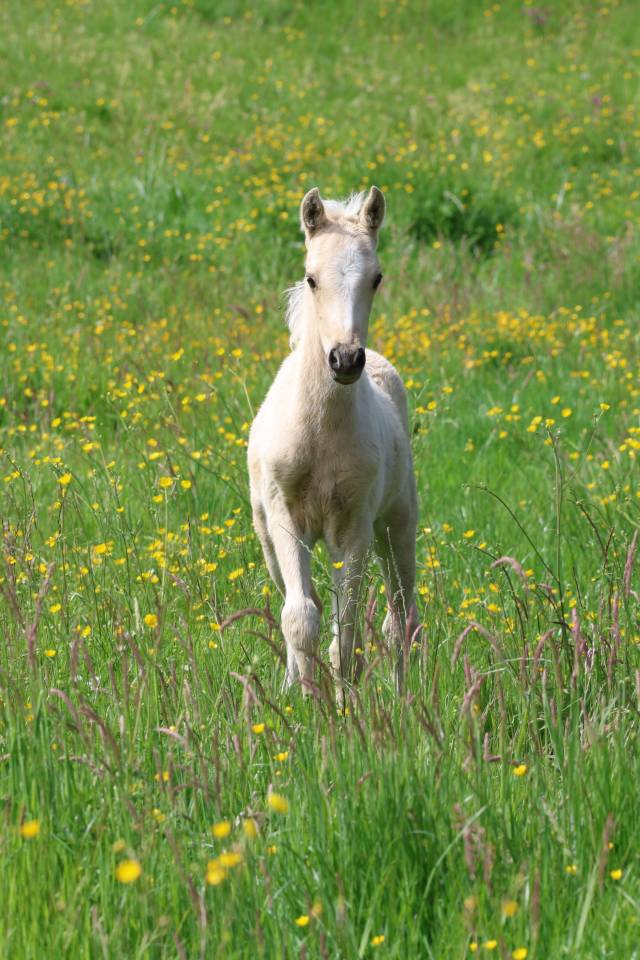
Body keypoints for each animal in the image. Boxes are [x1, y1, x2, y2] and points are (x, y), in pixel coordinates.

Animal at [247, 186, 418, 701]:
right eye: (311, 278)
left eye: (376, 278)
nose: (345, 359)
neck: (321, 433)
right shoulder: (285, 519)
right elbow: (301, 617)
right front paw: (306, 701)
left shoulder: (354, 527)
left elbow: (347, 633)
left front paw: (344, 706)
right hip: (267, 536)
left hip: (398, 523)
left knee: (400, 618)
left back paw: (404, 698)